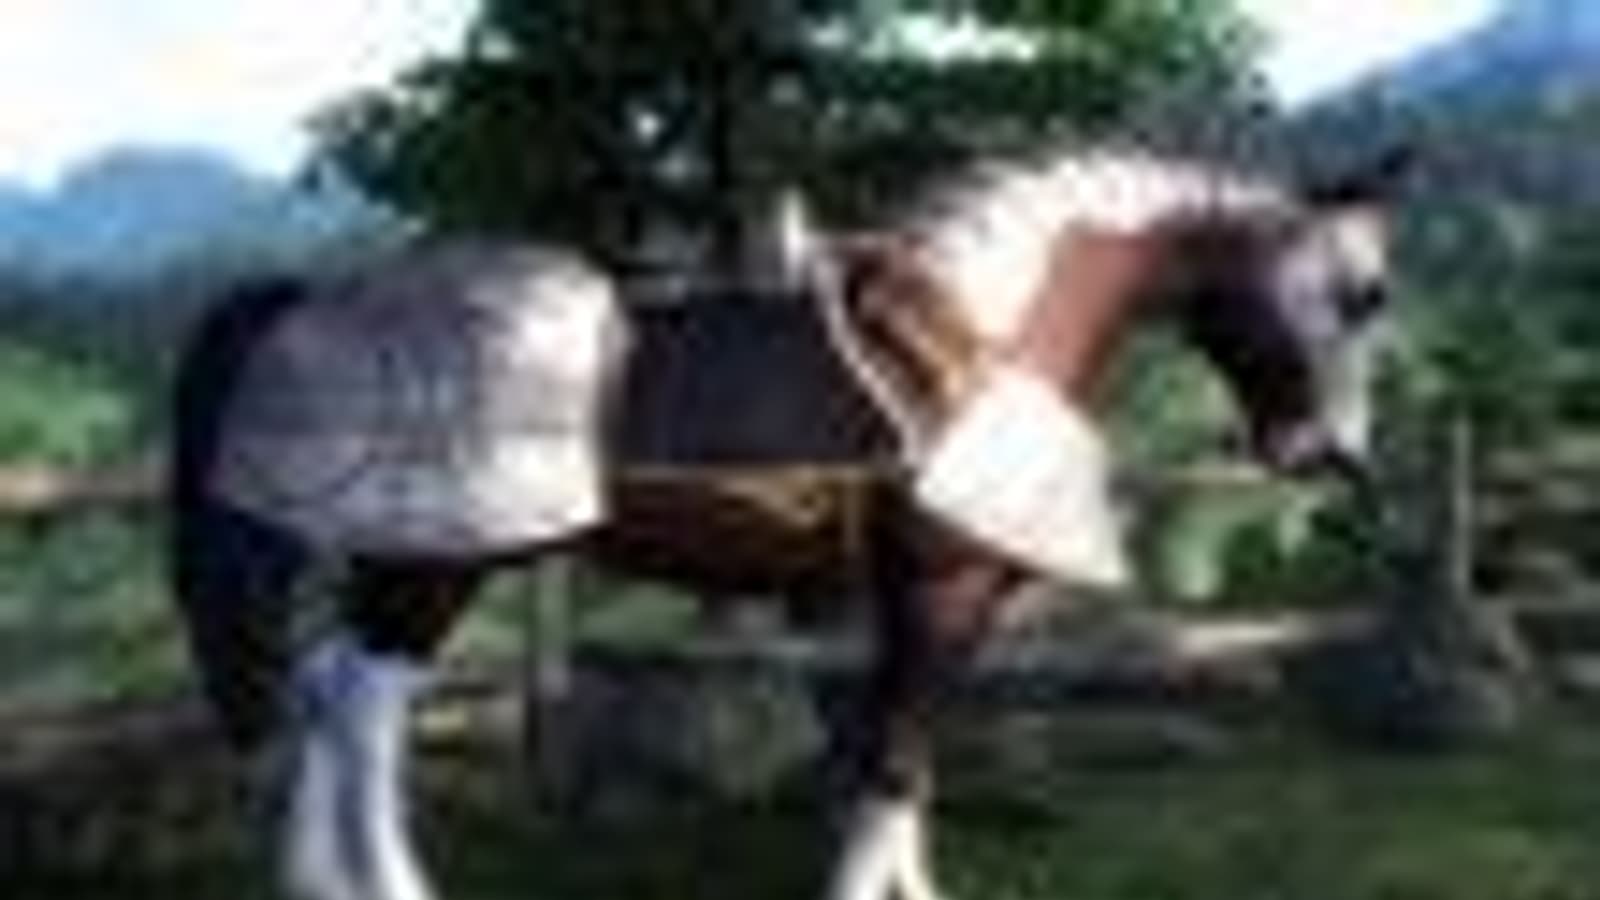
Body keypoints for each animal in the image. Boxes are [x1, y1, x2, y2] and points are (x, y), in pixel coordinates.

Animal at [167, 143, 1407, 900]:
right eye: (1360, 296)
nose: (1331, 455)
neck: (984, 336)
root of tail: (309, 303)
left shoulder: (905, 606)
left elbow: (899, 755)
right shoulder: (944, 593)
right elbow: (893, 757)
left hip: (399, 562)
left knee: (324, 685)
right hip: (435, 564)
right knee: (367, 709)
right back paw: (387, 882)